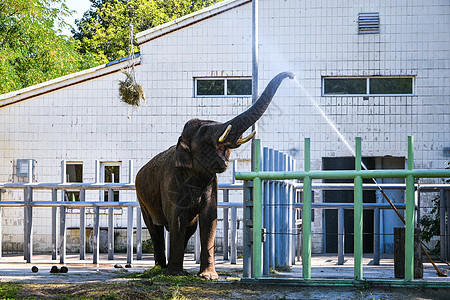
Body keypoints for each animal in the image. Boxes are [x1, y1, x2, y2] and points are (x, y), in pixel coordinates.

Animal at [135, 72, 294, 278]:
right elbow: (177, 219)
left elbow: (209, 219)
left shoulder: (212, 185)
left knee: (189, 228)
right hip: (142, 197)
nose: (292, 75)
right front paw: (176, 274)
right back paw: (160, 268)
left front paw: (208, 276)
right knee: (155, 228)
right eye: (203, 131)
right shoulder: (171, 183)